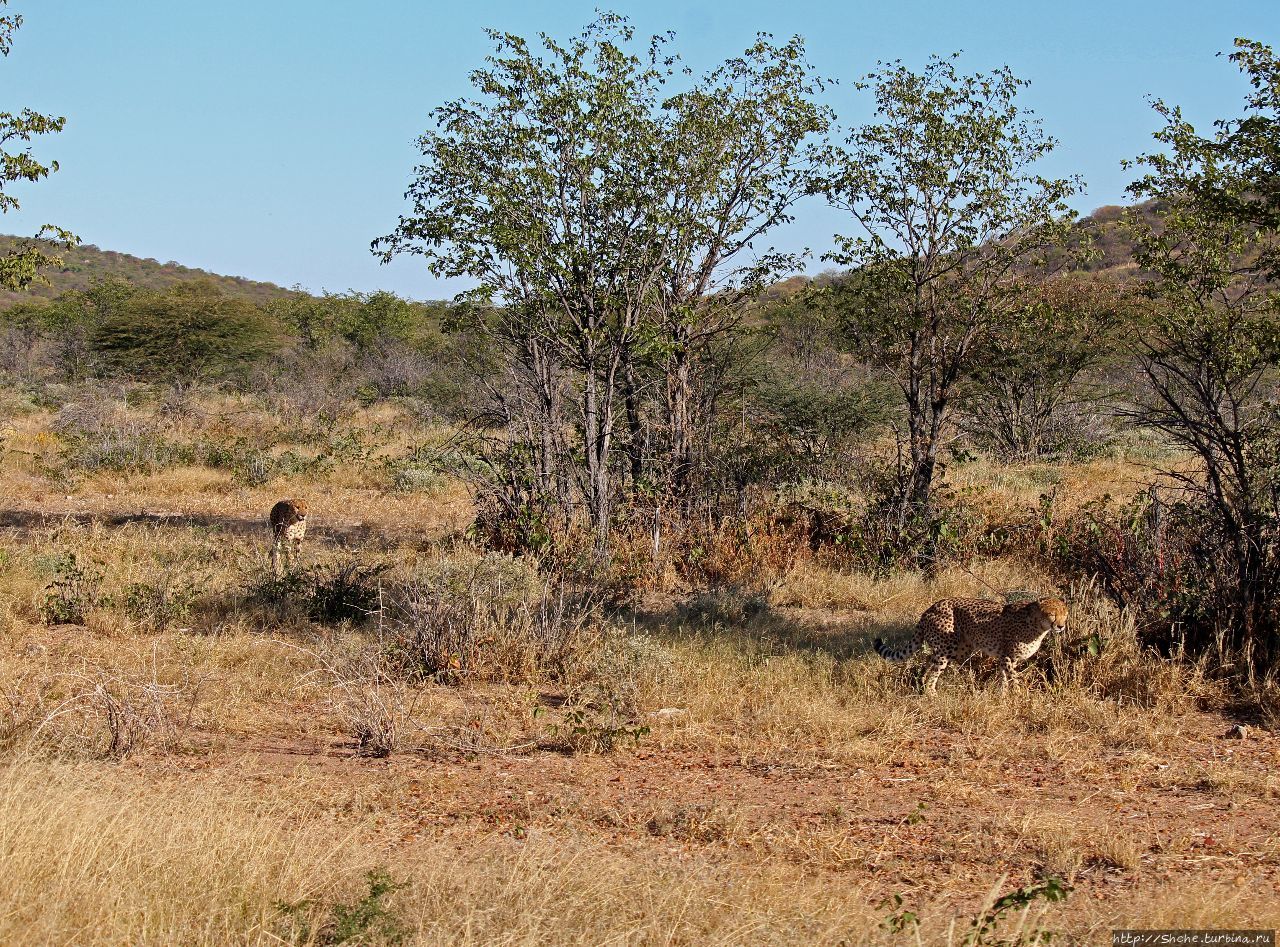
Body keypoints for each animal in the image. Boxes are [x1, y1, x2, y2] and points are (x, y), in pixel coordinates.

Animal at [870, 596, 1070, 691]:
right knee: (933, 671)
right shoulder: (1007, 657)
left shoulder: (1003, 658)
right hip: (946, 648)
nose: (1061, 626)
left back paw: (920, 684)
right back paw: (931, 693)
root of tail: (932, 607)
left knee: (927, 662)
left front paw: (1003, 698)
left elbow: (1004, 679)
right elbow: (1014, 679)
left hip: (958, 649)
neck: (1037, 624)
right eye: (1052, 614)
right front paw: (1020, 697)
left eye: (1065, 614)